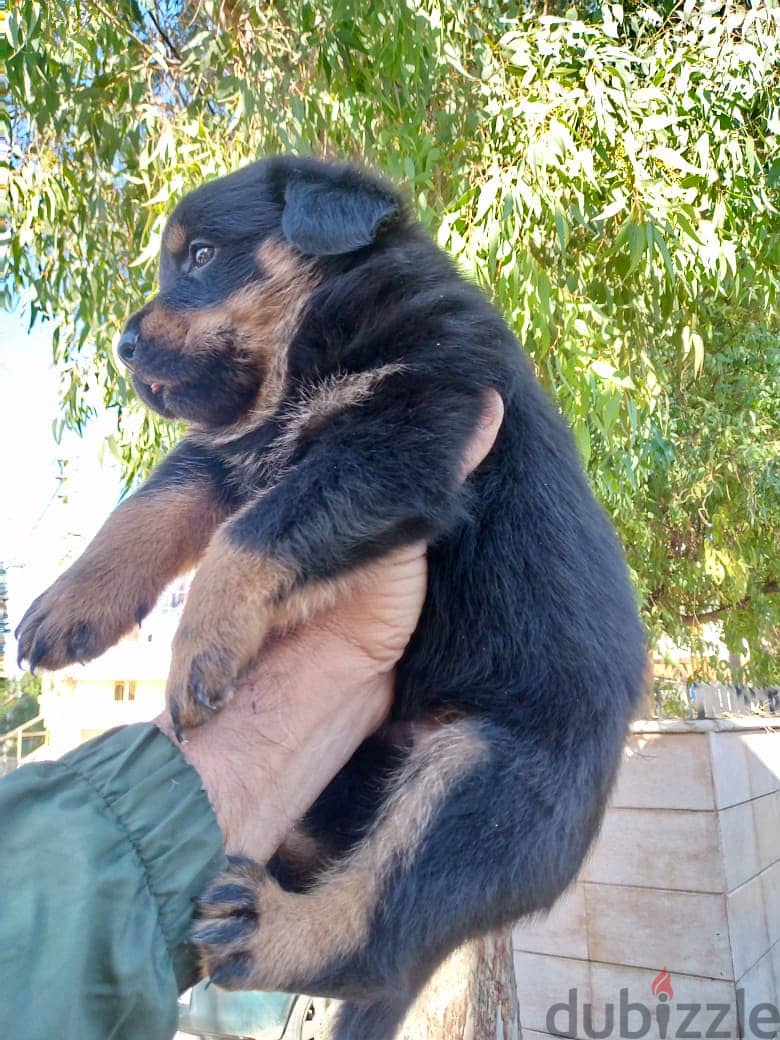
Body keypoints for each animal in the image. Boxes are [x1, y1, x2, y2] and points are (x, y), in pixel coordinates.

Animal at [16, 156, 648, 1040]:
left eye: (202, 255)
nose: (124, 344)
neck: (314, 345)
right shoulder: (238, 451)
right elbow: (150, 506)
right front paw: (69, 602)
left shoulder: (403, 434)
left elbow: (247, 537)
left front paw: (198, 645)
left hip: (486, 778)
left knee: (381, 929)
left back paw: (271, 932)